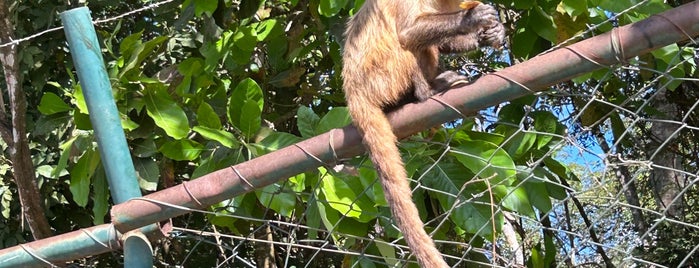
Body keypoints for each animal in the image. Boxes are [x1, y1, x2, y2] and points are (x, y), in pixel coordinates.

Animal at [342, 1, 506, 266]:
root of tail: (353, 91)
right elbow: (408, 33)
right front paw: (470, 18)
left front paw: (488, 35)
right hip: (382, 78)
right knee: (407, 44)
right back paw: (424, 92)